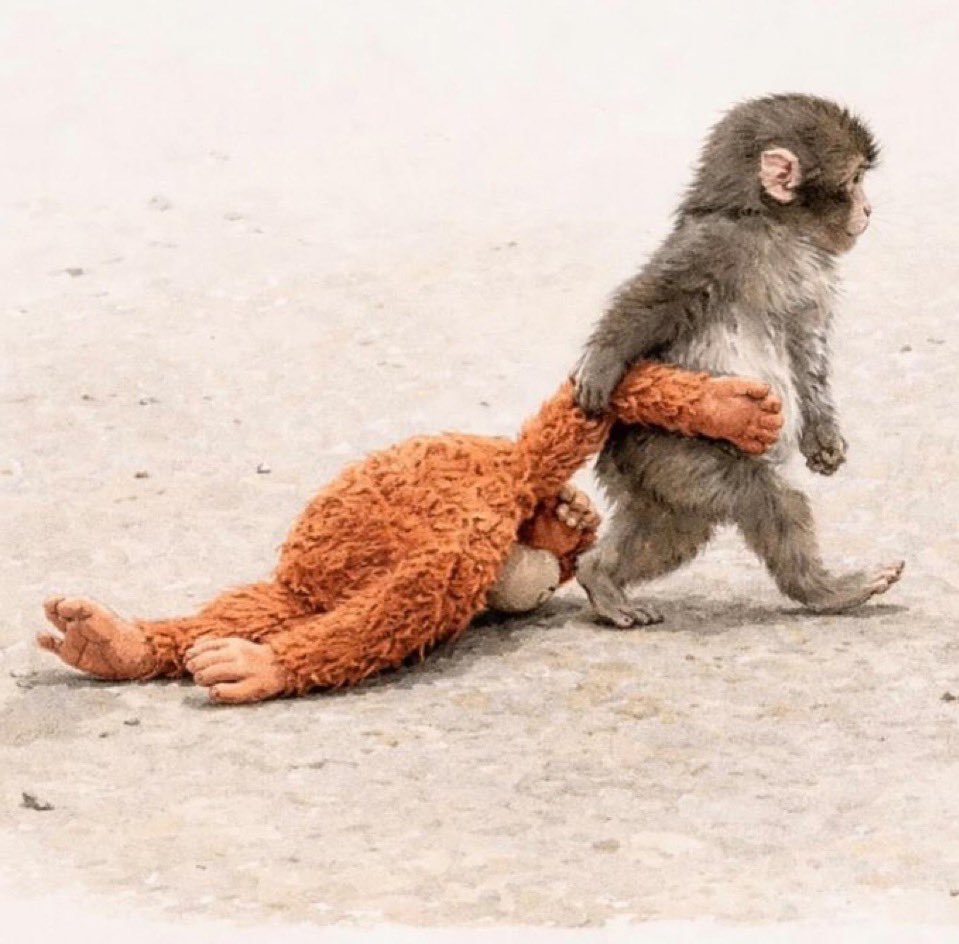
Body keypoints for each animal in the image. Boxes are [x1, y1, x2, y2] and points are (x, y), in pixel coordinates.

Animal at [573, 93, 904, 627]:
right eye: (854, 180)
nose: (868, 208)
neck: (775, 226)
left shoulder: (808, 277)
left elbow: (805, 346)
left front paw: (823, 436)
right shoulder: (717, 244)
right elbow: (655, 298)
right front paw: (602, 365)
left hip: (660, 476)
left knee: (672, 529)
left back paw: (599, 574)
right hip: (669, 449)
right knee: (769, 499)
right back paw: (826, 590)